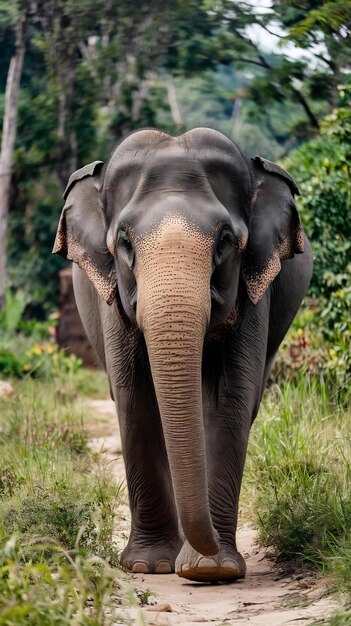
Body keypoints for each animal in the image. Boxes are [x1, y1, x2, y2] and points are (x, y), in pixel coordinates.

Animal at [54, 127, 314, 580]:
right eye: (124, 242)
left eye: (225, 242)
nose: (205, 554)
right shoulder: (112, 299)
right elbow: (135, 396)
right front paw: (150, 565)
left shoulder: (253, 290)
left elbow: (229, 399)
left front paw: (211, 570)